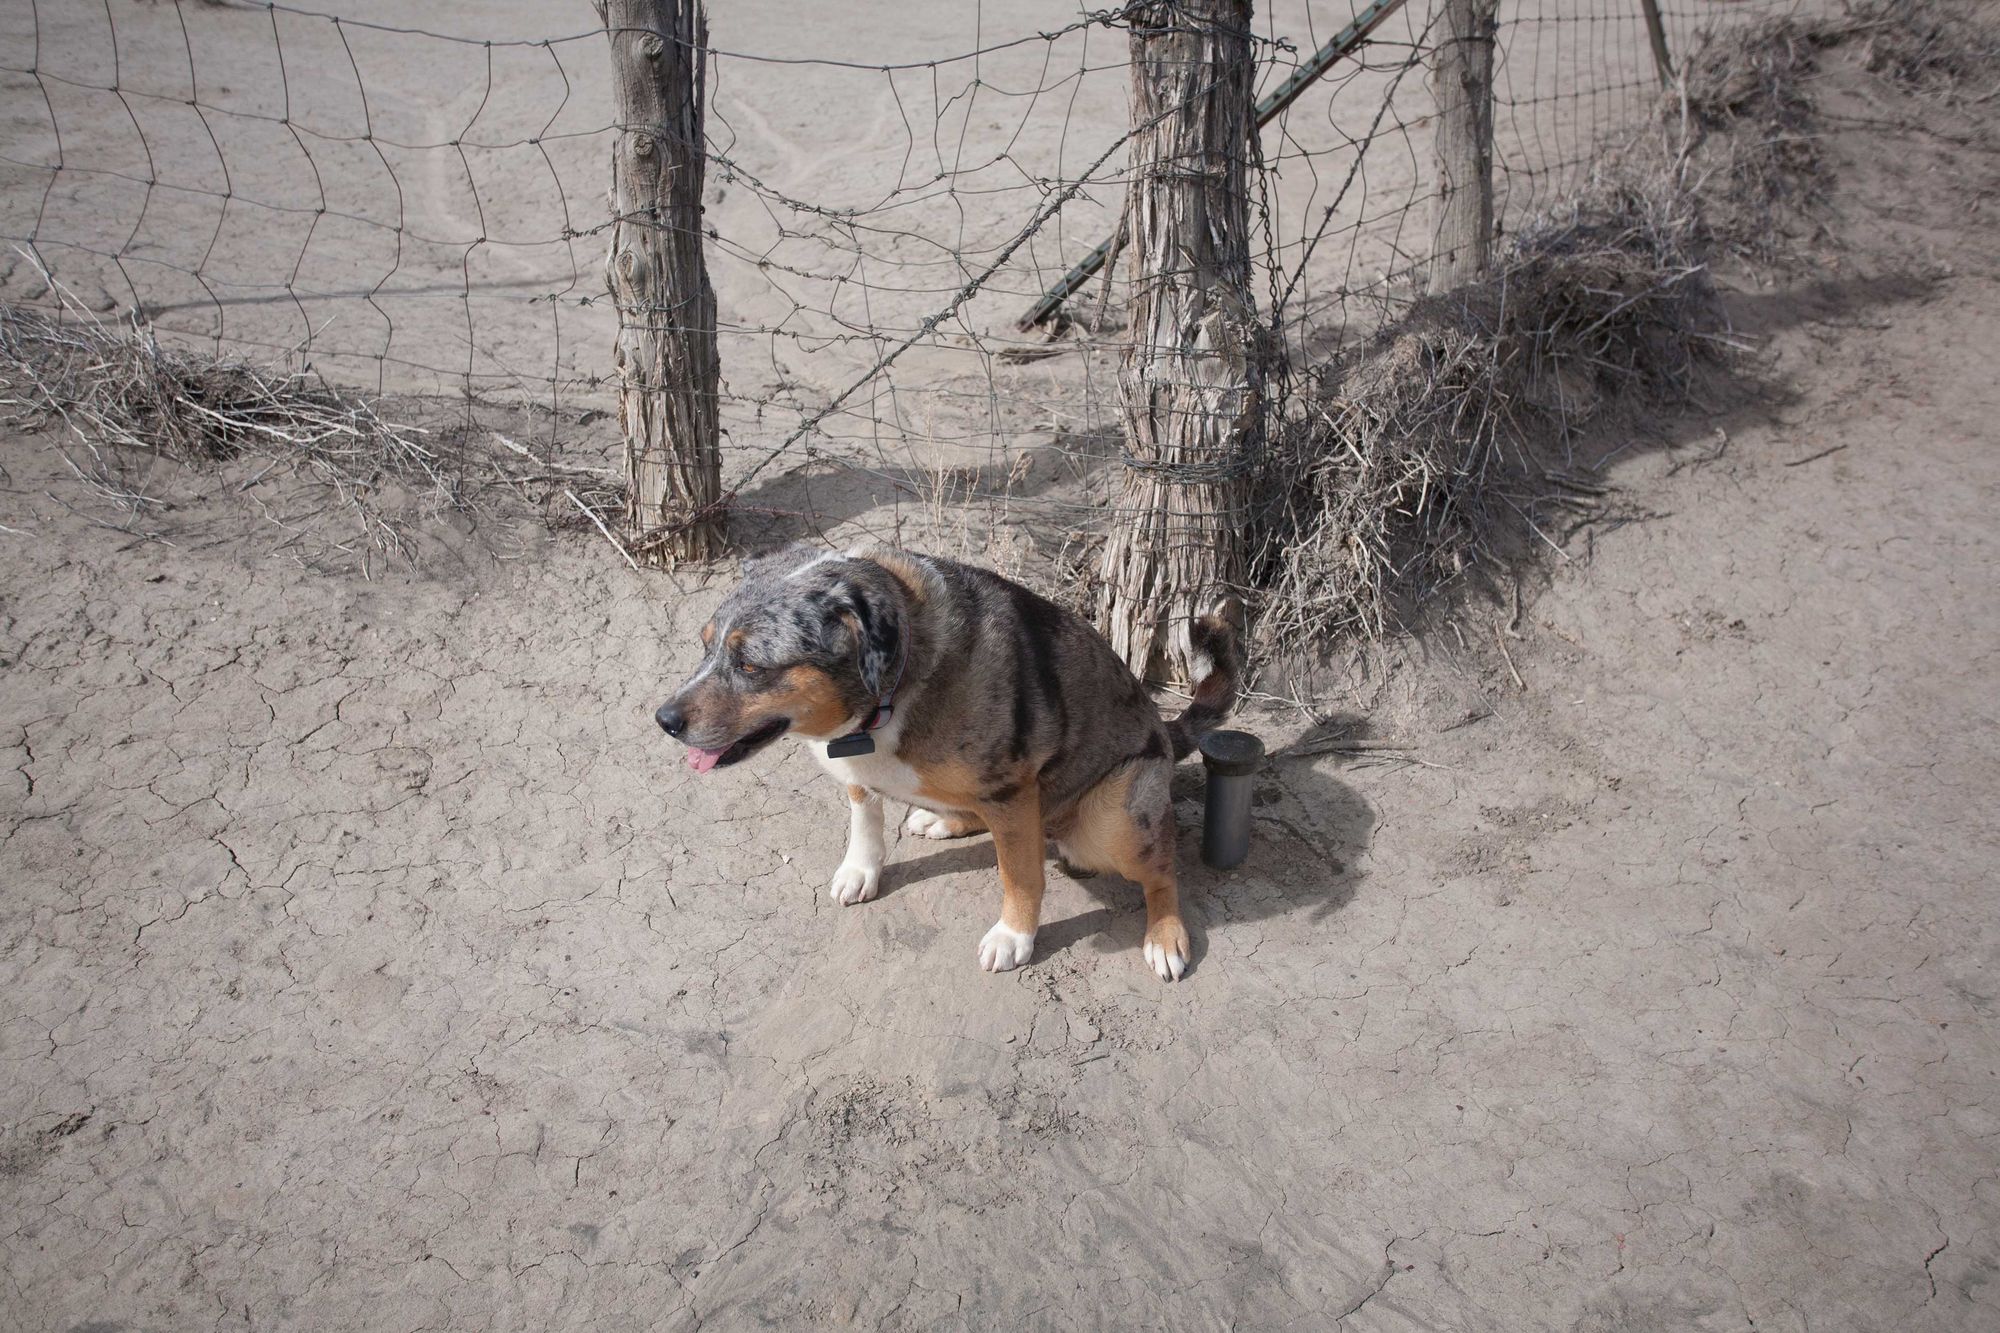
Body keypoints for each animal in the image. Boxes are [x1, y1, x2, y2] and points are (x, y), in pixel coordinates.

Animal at [664, 540, 1240, 976]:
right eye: (705, 645)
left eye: (750, 664)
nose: (664, 719)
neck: (891, 690)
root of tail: (1166, 731)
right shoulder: (858, 773)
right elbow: (865, 825)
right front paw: (860, 871)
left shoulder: (1010, 793)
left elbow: (1021, 875)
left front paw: (1014, 936)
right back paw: (943, 820)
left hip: (1113, 820)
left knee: (1161, 869)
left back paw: (1165, 936)